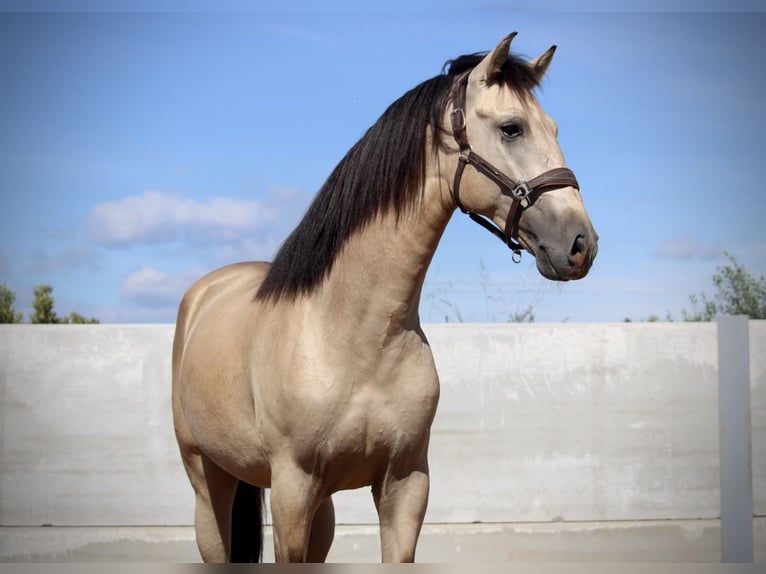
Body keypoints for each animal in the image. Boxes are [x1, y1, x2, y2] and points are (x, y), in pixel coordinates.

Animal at [172, 33, 600, 564]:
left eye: (555, 128)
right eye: (512, 128)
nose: (581, 244)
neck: (354, 335)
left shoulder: (405, 484)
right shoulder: (292, 487)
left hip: (320, 505)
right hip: (208, 480)